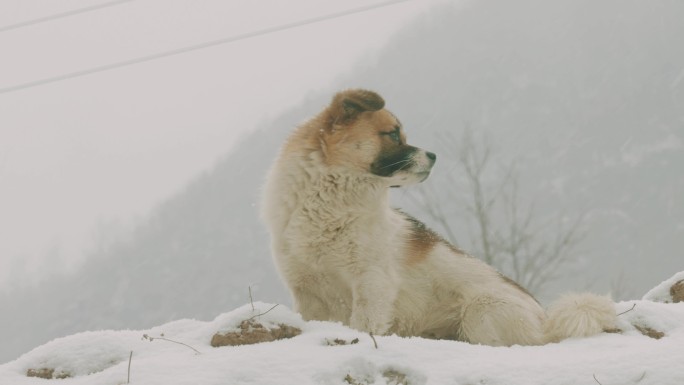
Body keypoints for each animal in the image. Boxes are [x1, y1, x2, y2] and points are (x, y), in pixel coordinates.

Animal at [260, 89, 616, 344]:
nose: (433, 155)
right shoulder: (307, 293)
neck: (329, 205)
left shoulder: (372, 285)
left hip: (480, 311)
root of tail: (546, 321)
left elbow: (364, 327)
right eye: (393, 134)